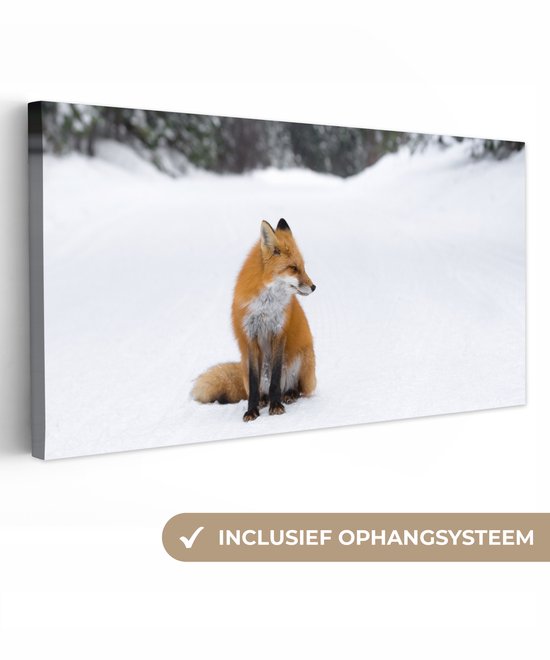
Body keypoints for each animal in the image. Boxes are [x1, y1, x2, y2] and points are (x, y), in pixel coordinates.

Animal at [192, 218, 316, 422]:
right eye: (293, 268)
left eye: (303, 267)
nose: (314, 287)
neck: (265, 307)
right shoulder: (250, 335)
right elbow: (253, 381)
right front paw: (252, 410)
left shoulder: (278, 332)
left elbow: (275, 378)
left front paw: (276, 406)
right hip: (244, 363)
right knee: (257, 388)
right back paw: (263, 400)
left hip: (302, 359)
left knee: (297, 389)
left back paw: (287, 395)